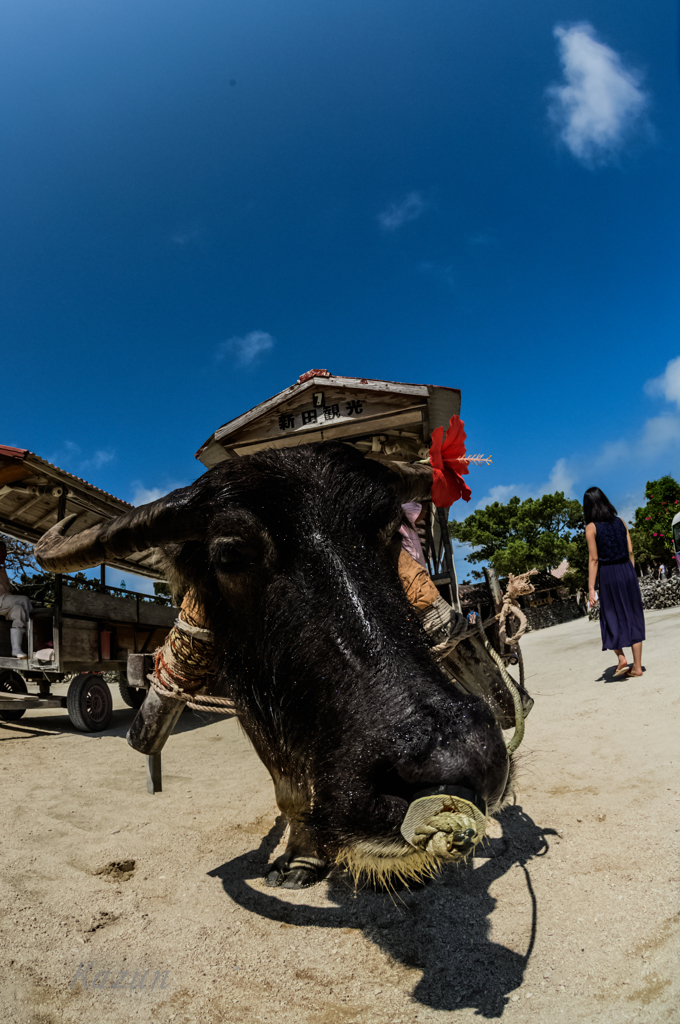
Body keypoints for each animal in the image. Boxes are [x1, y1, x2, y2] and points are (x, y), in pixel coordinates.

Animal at [37, 442, 512, 888]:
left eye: (391, 534)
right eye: (230, 555)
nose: (456, 758)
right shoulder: (251, 706)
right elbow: (288, 789)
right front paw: (301, 857)